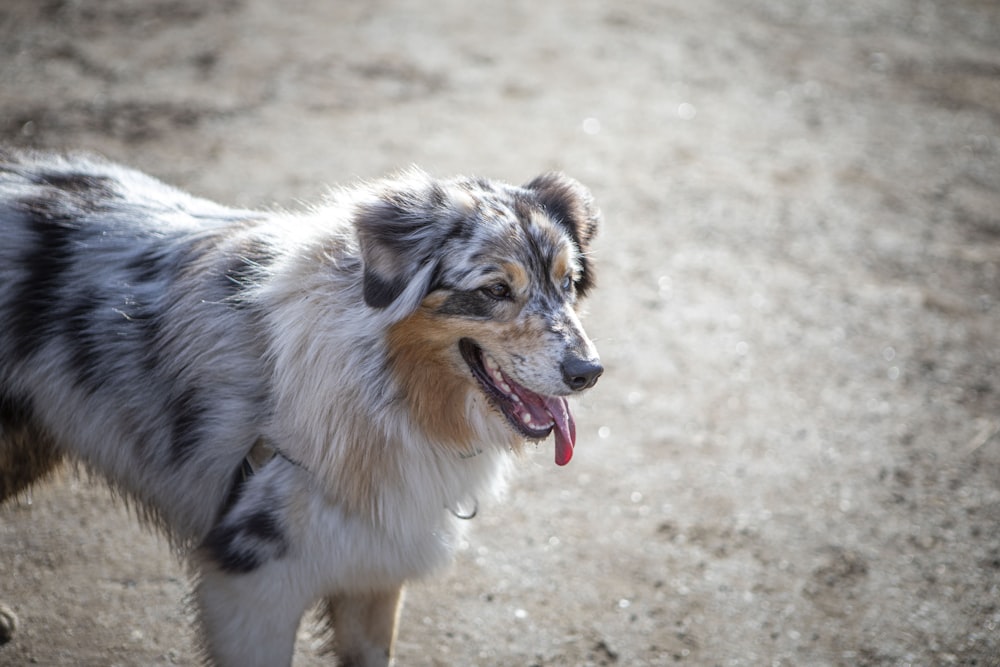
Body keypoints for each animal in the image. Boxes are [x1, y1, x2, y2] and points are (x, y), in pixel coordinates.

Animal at [0, 151, 600, 667]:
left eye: (569, 282)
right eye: (495, 289)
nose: (588, 372)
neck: (378, 386)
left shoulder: (373, 572)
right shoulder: (252, 585)